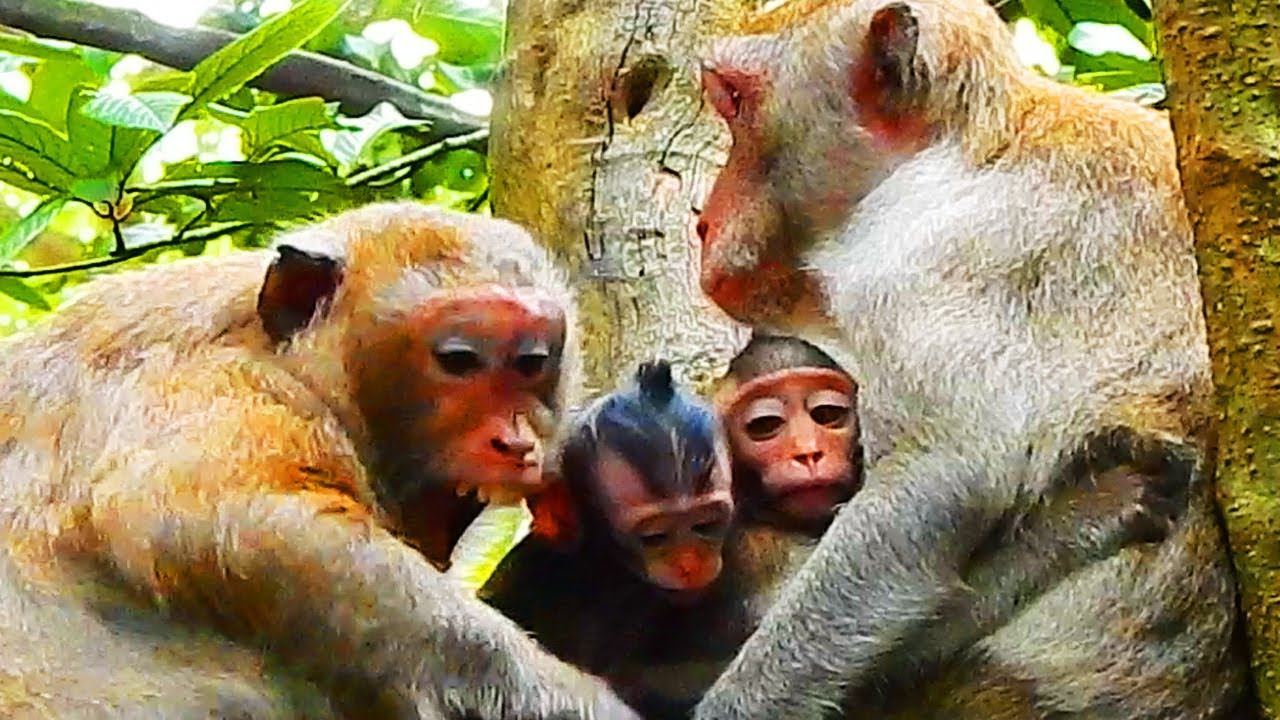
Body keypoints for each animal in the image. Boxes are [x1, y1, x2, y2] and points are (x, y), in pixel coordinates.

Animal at [0, 201, 642, 719]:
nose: (514, 441)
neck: (279, 354)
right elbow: (215, 517)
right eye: (460, 359)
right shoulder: (209, 387)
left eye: (532, 361)